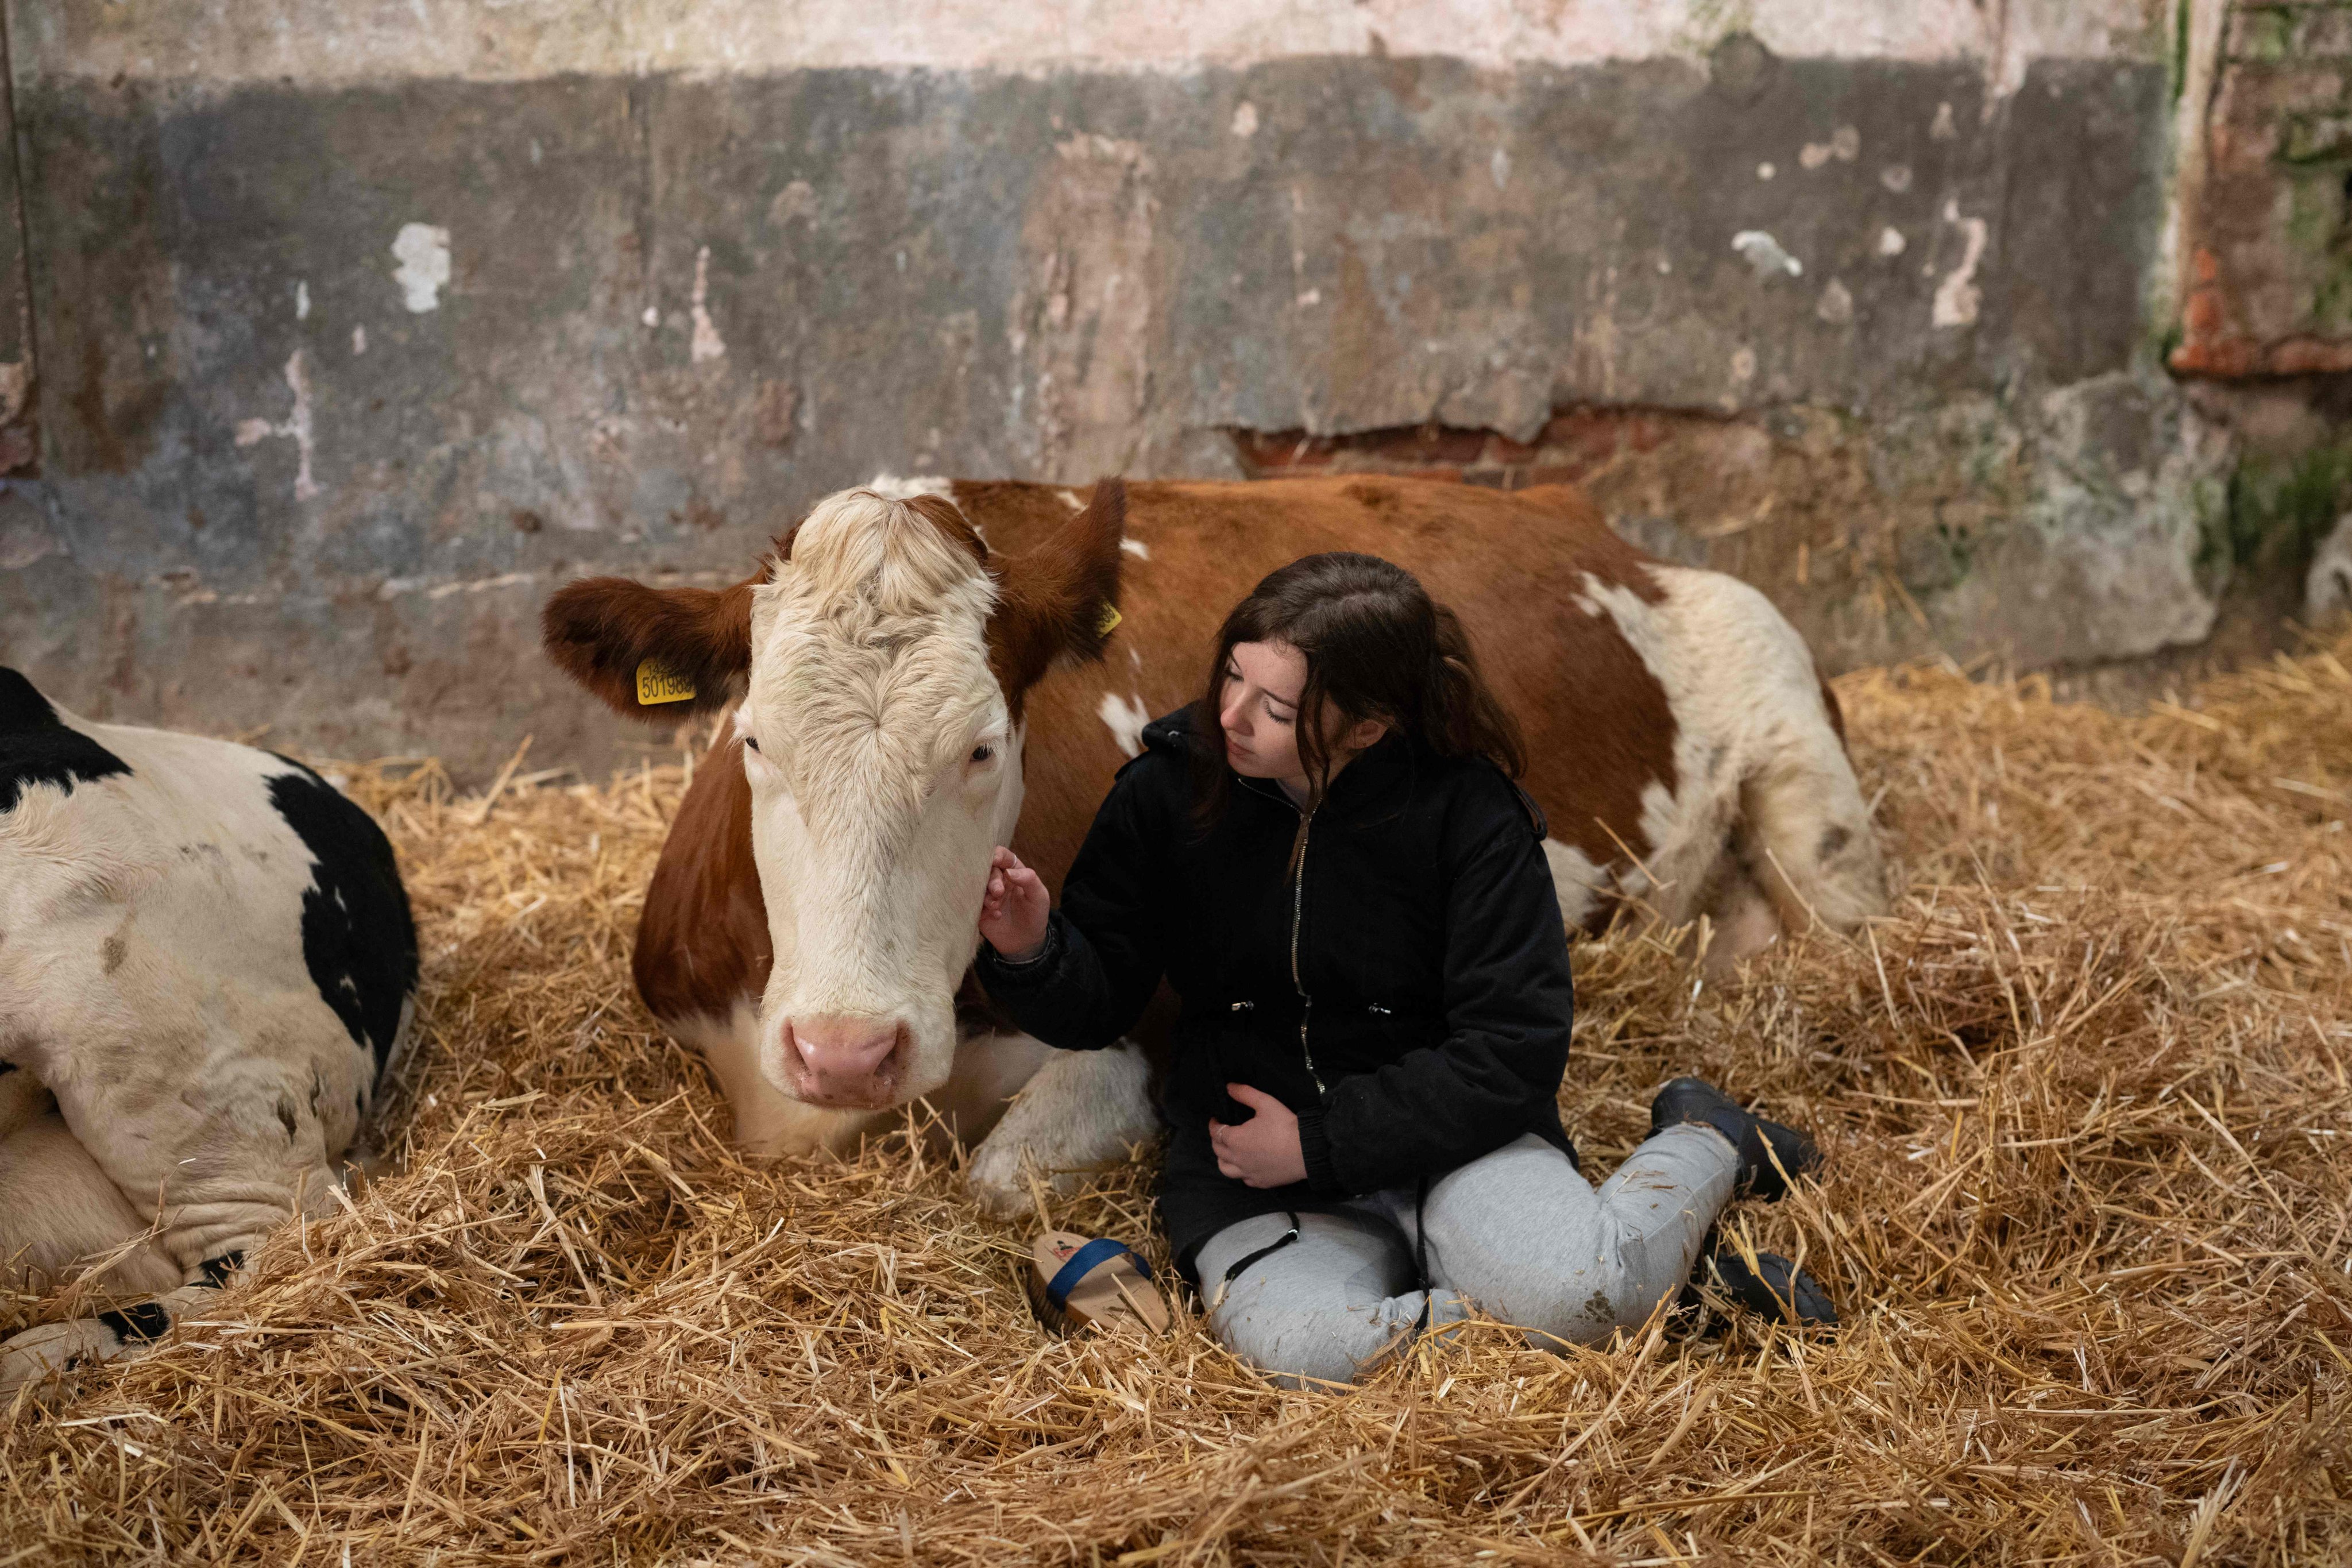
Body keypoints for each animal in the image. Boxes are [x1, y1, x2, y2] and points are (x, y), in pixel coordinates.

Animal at [542, 474, 1885, 1216]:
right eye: (752, 740)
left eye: (983, 747)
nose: (847, 1049)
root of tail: (1589, 521)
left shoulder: (1145, 1034)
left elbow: (997, 1179)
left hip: (1796, 741)